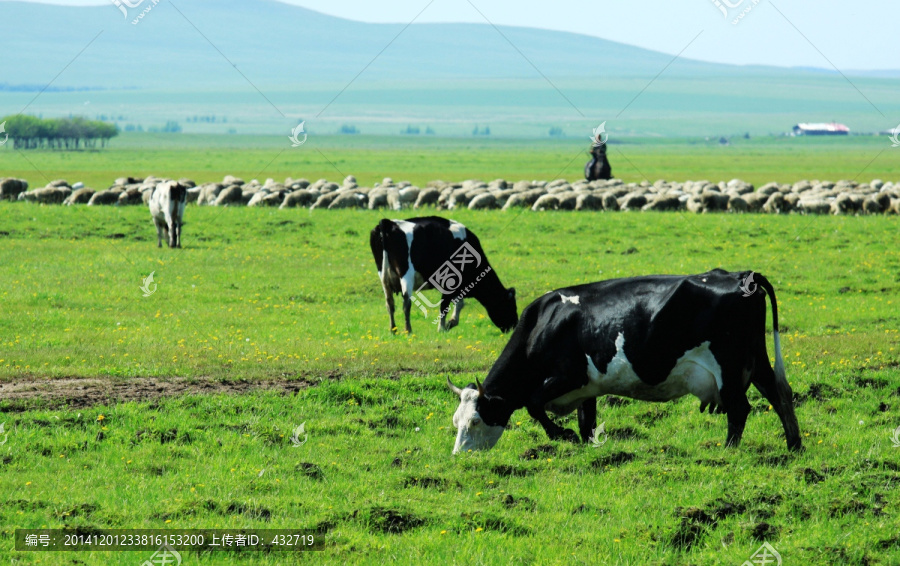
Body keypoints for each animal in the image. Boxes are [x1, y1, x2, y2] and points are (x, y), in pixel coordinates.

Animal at [370, 216, 516, 332]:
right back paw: (408, 330)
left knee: (390, 303)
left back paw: (393, 330)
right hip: (406, 273)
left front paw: (450, 323)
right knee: (406, 303)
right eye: (511, 306)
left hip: (383, 275)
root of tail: (389, 223)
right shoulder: (450, 282)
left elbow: (459, 304)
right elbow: (444, 305)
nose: (513, 326)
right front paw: (442, 328)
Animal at [450, 272, 800, 458]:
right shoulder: (586, 389)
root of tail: (740, 275)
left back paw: (727, 450)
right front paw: (585, 444)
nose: (458, 457)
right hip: (756, 361)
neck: (545, 323)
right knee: (780, 395)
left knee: (740, 409)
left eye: (476, 421)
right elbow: (586, 423)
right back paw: (794, 447)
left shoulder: (568, 375)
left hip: (728, 367)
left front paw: (561, 435)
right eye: (456, 422)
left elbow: (535, 404)